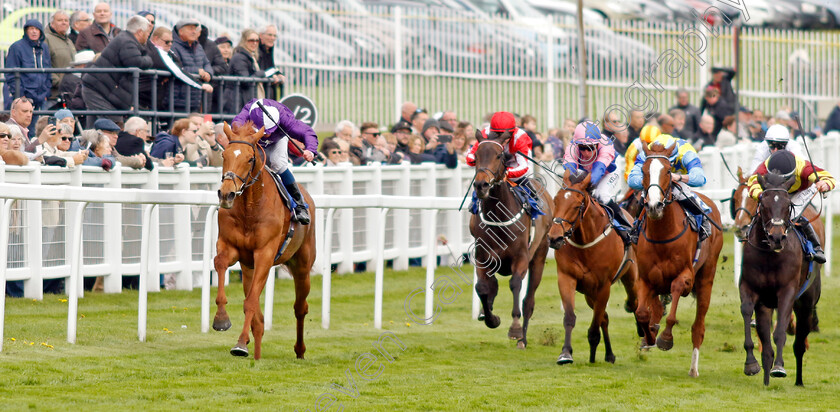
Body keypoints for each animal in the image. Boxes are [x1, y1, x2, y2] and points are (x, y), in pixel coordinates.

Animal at [212, 123, 316, 360]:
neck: (250, 208)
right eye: (223, 154)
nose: (226, 194)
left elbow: (251, 302)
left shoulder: (265, 255)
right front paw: (222, 320)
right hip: (248, 268)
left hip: (302, 266)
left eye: (250, 158)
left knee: (300, 308)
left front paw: (240, 343)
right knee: (257, 312)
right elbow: (220, 263)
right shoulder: (231, 248)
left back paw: (300, 350)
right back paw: (254, 346)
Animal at [470, 131, 556, 348]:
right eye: (476, 156)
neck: (498, 216)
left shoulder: (521, 257)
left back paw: (522, 339)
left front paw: (515, 329)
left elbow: (516, 284)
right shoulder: (483, 256)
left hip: (539, 255)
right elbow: (482, 287)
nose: (481, 185)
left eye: (499, 155)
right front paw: (491, 318)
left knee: (529, 300)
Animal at [548, 168, 640, 364]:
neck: (585, 241)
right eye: (556, 201)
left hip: (630, 277)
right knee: (604, 317)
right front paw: (565, 353)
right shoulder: (566, 278)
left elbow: (594, 327)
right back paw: (609, 354)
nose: (554, 238)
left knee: (634, 302)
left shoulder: (604, 286)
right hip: (589, 293)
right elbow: (570, 317)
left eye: (577, 206)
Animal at [636, 142, 720, 376]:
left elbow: (674, 300)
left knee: (698, 327)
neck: (662, 236)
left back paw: (693, 368)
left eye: (667, 171)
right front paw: (649, 337)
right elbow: (642, 313)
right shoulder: (645, 278)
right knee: (655, 308)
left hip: (706, 279)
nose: (654, 206)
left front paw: (665, 338)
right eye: (644, 171)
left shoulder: (686, 277)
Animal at [740, 171, 820, 386]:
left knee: (799, 343)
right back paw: (766, 377)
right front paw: (751, 364)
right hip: (766, 306)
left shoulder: (787, 292)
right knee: (766, 343)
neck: (769, 255)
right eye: (763, 203)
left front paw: (779, 367)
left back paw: (798, 380)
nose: (777, 237)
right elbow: (747, 313)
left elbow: (780, 332)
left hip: (806, 305)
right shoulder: (750, 289)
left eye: (787, 205)